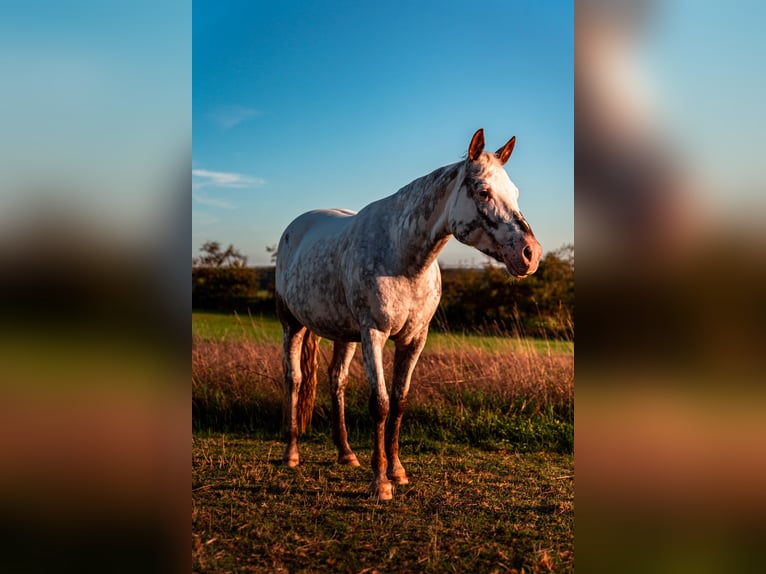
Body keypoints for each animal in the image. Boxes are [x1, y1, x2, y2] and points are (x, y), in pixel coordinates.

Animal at [272, 129, 544, 500]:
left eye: (514, 193)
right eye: (483, 191)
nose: (531, 254)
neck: (403, 256)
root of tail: (297, 226)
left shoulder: (414, 339)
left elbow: (399, 402)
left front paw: (397, 471)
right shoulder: (374, 334)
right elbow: (380, 404)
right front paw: (380, 482)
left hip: (346, 335)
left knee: (336, 380)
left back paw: (346, 453)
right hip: (293, 325)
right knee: (295, 379)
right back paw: (291, 453)